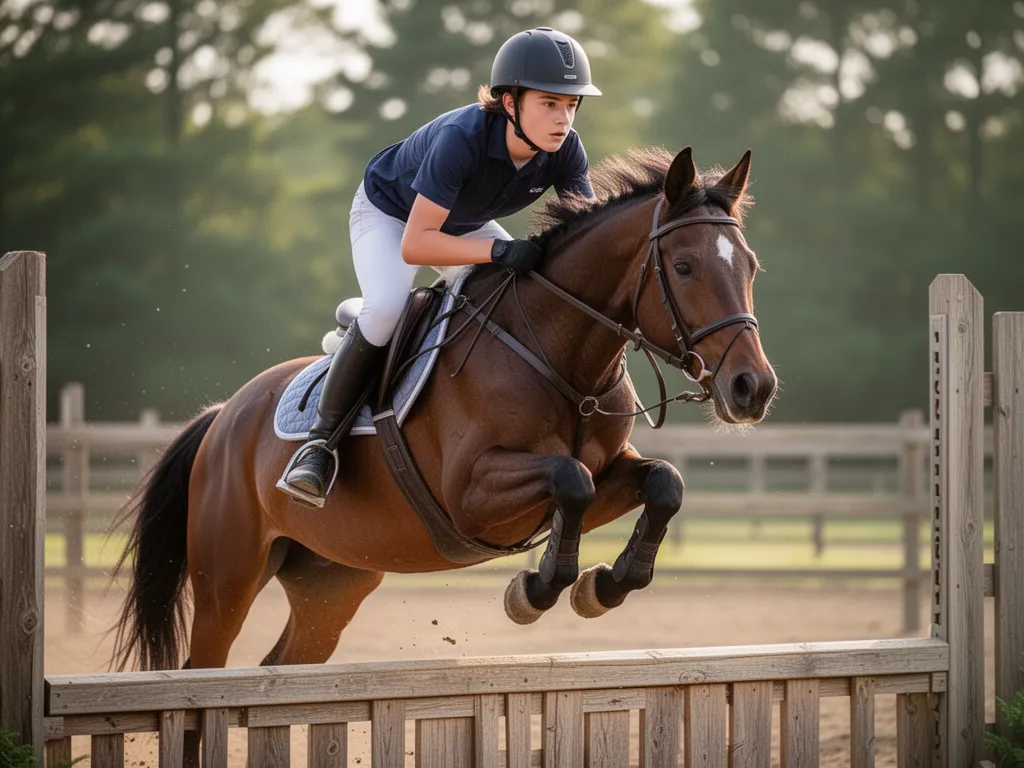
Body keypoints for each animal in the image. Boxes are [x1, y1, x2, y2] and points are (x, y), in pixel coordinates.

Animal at [111, 145, 777, 678]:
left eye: (751, 266)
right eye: (684, 267)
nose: (753, 388)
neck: (558, 354)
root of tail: (223, 415)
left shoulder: (609, 473)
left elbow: (663, 483)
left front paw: (602, 586)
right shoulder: (470, 494)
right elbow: (571, 480)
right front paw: (535, 589)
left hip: (331, 580)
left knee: (283, 662)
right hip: (227, 576)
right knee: (204, 664)